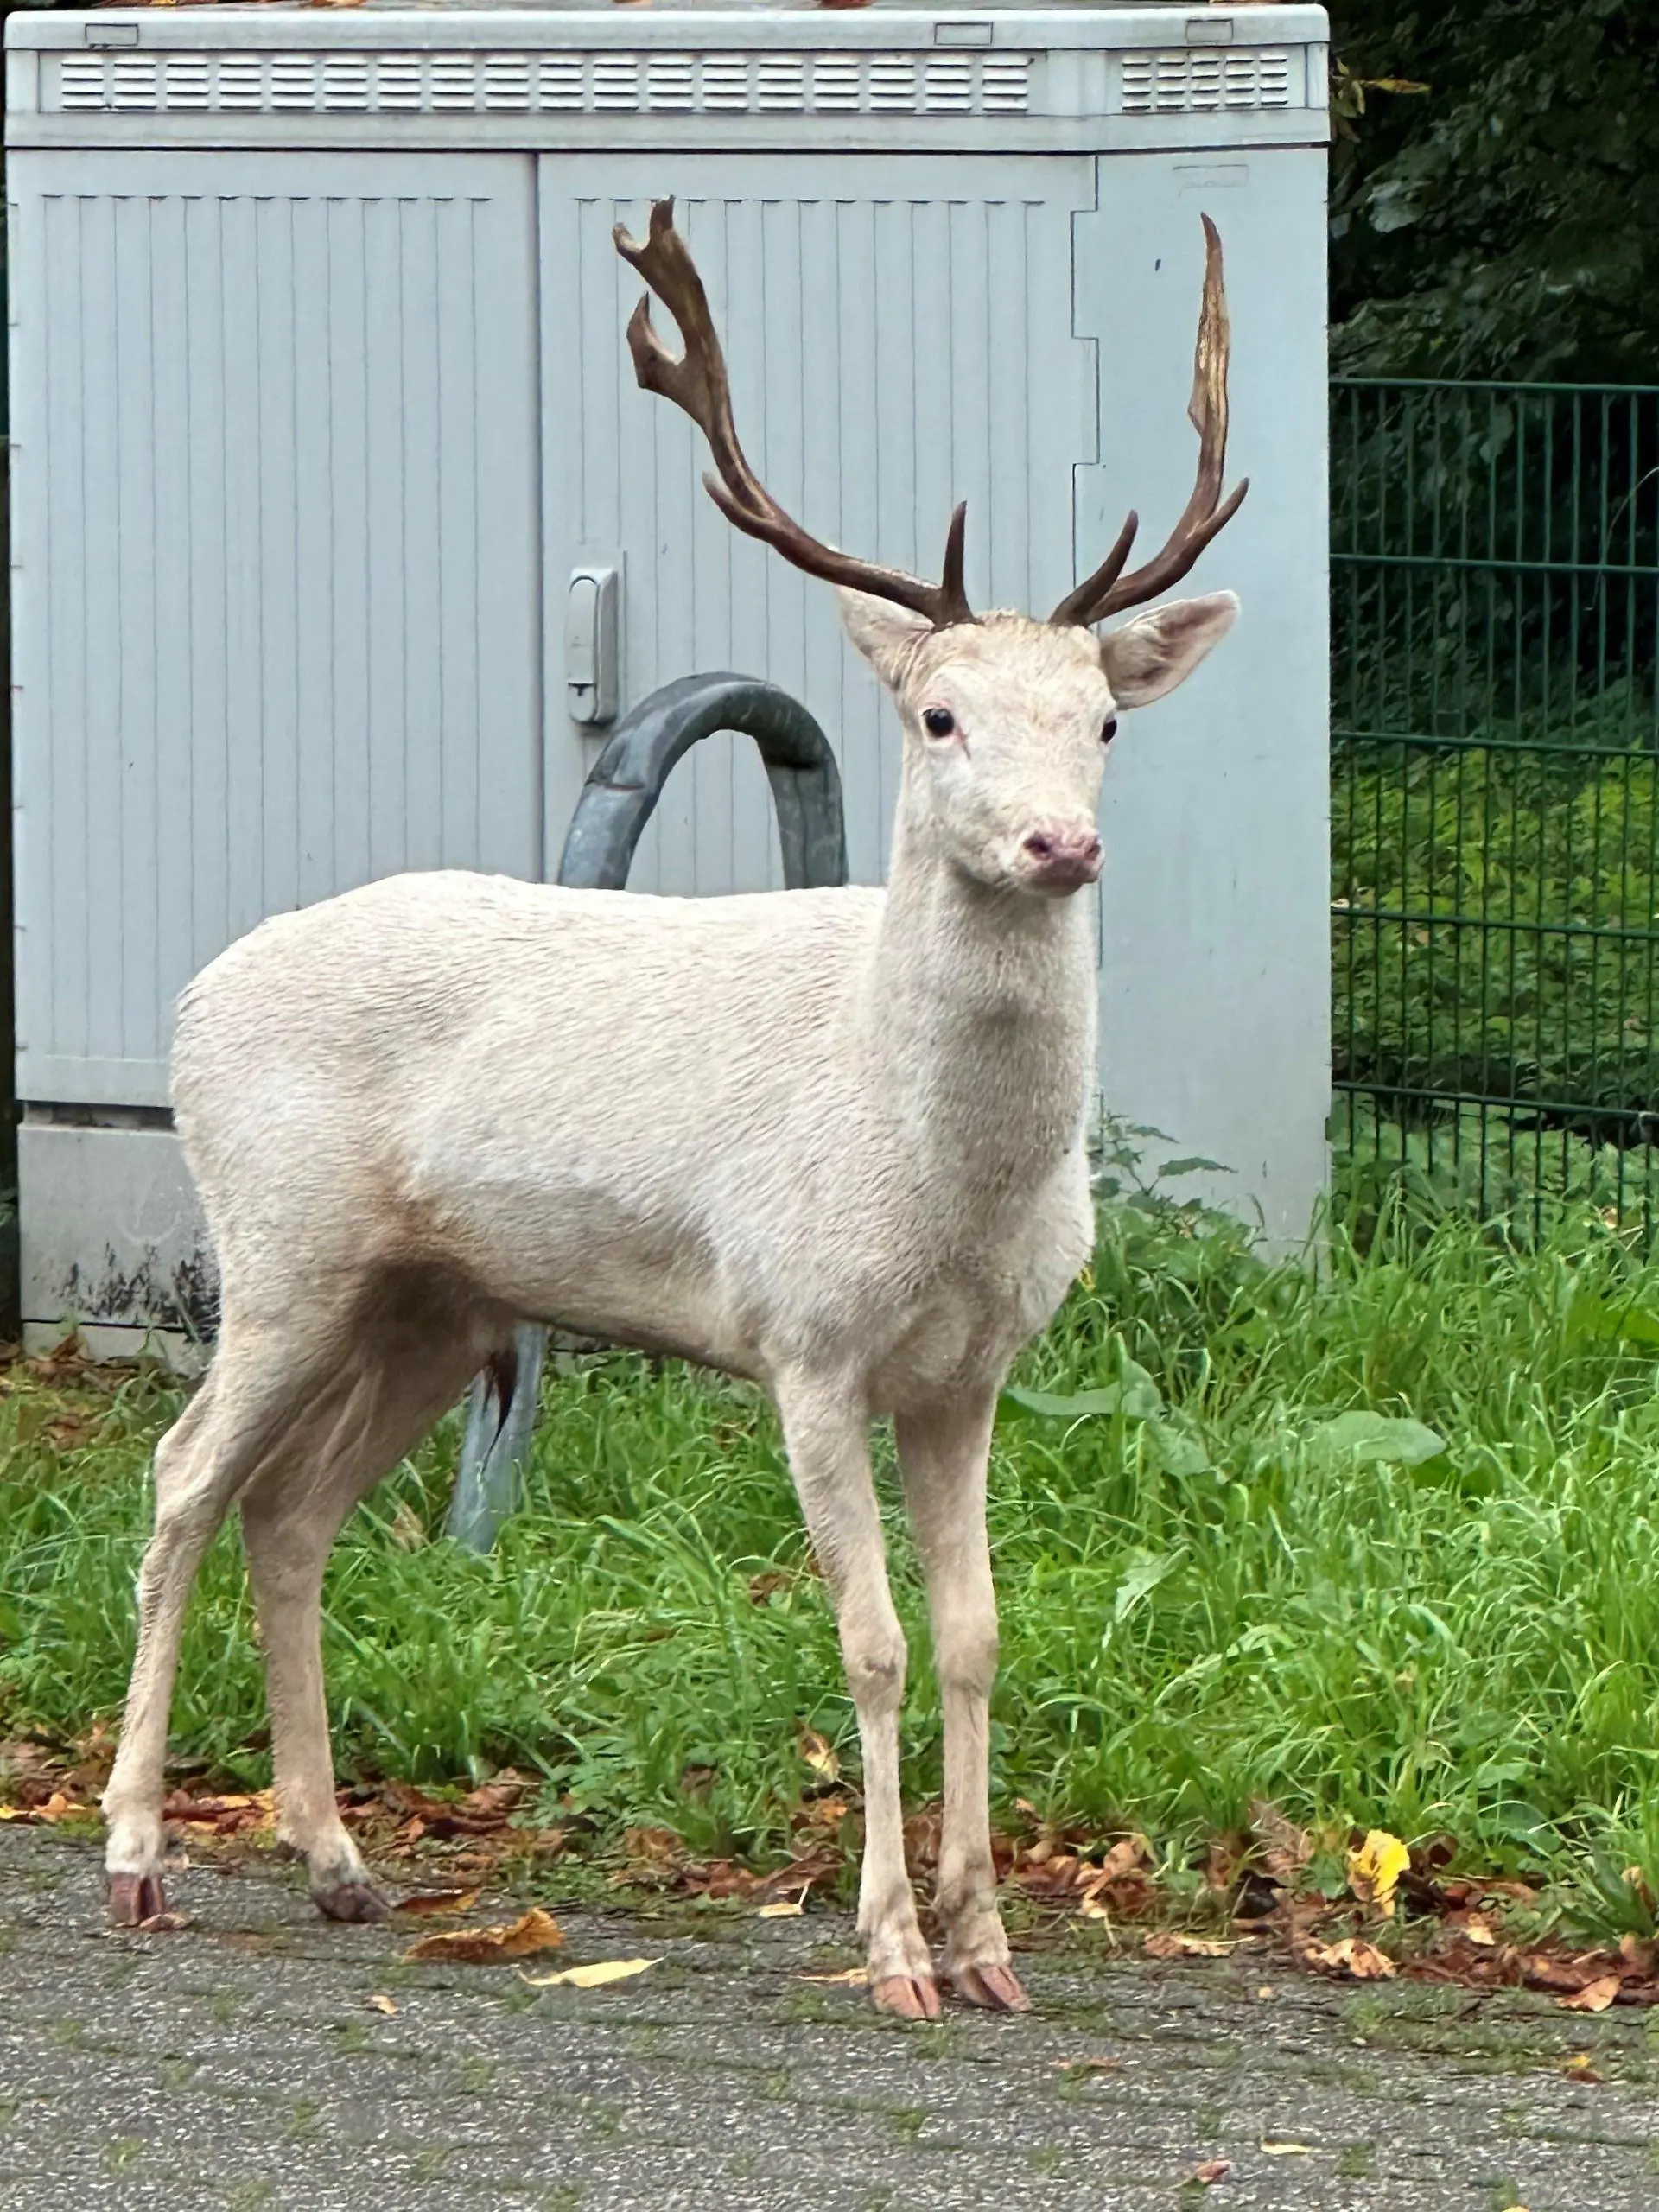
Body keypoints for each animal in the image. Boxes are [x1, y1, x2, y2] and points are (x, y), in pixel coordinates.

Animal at [100, 199, 1245, 2018]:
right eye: (940, 716)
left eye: (1107, 722)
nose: (1062, 842)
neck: (943, 1183)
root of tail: (194, 1003)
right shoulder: (806, 1334)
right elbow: (871, 1640)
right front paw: (892, 1951)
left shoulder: (973, 1372)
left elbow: (980, 1638)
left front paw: (992, 1948)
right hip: (278, 1238)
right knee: (183, 1478)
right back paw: (139, 1856)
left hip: (430, 1299)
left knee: (292, 1511)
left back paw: (338, 1861)